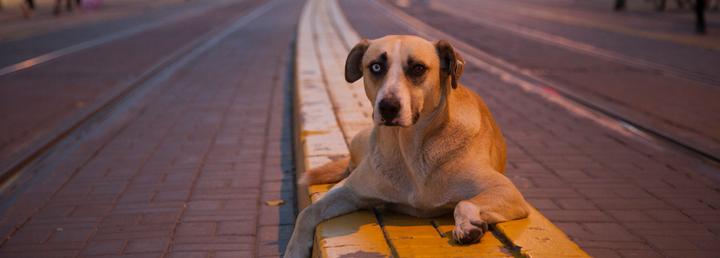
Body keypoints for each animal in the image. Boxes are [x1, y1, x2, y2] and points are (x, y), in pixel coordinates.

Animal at [282, 34, 528, 258]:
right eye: (376, 66)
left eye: (418, 68)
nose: (388, 106)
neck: (410, 149)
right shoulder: (349, 190)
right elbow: (308, 211)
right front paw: (294, 249)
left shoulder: (506, 190)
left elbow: (463, 203)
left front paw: (467, 225)